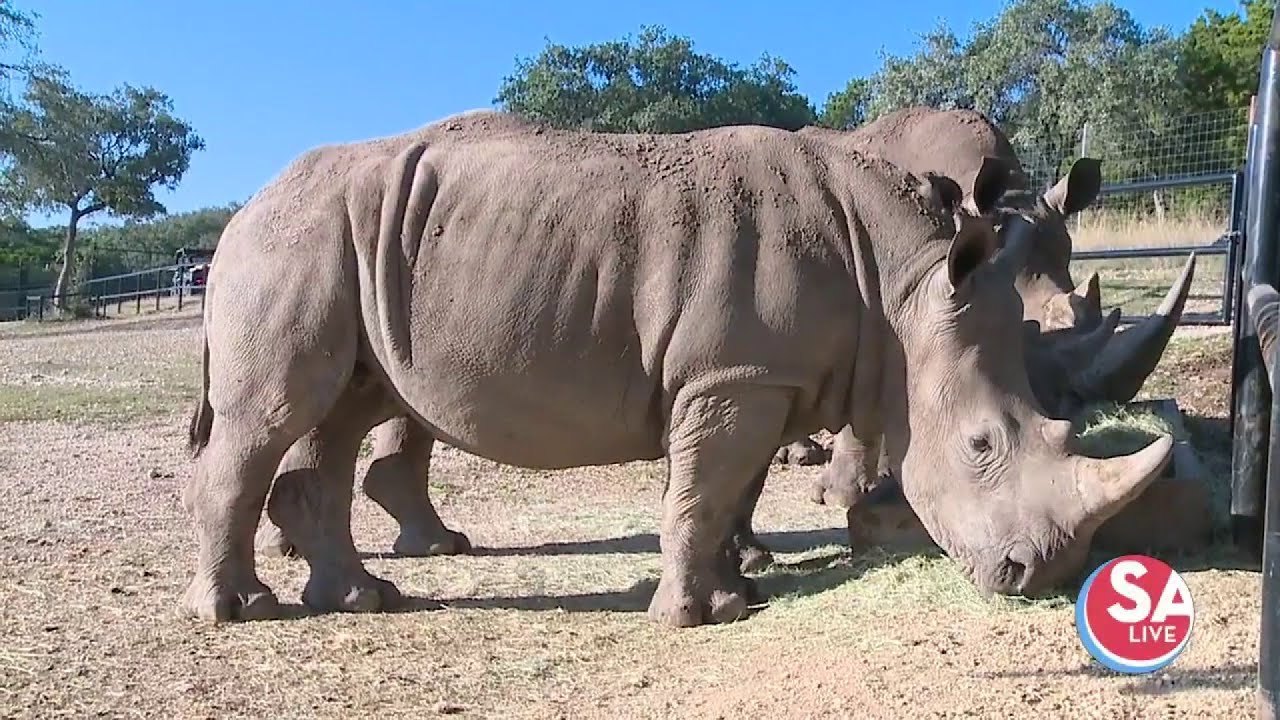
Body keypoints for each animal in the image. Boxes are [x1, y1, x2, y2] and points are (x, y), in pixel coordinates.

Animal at [183, 111, 1173, 625]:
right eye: (979, 448)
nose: (1036, 576)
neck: (906, 283)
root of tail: (240, 212)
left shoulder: (755, 374)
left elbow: (727, 490)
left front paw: (739, 590)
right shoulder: (734, 375)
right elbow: (703, 490)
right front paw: (697, 617)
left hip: (349, 245)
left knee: (343, 406)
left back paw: (362, 598)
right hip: (290, 244)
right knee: (274, 418)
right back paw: (239, 612)